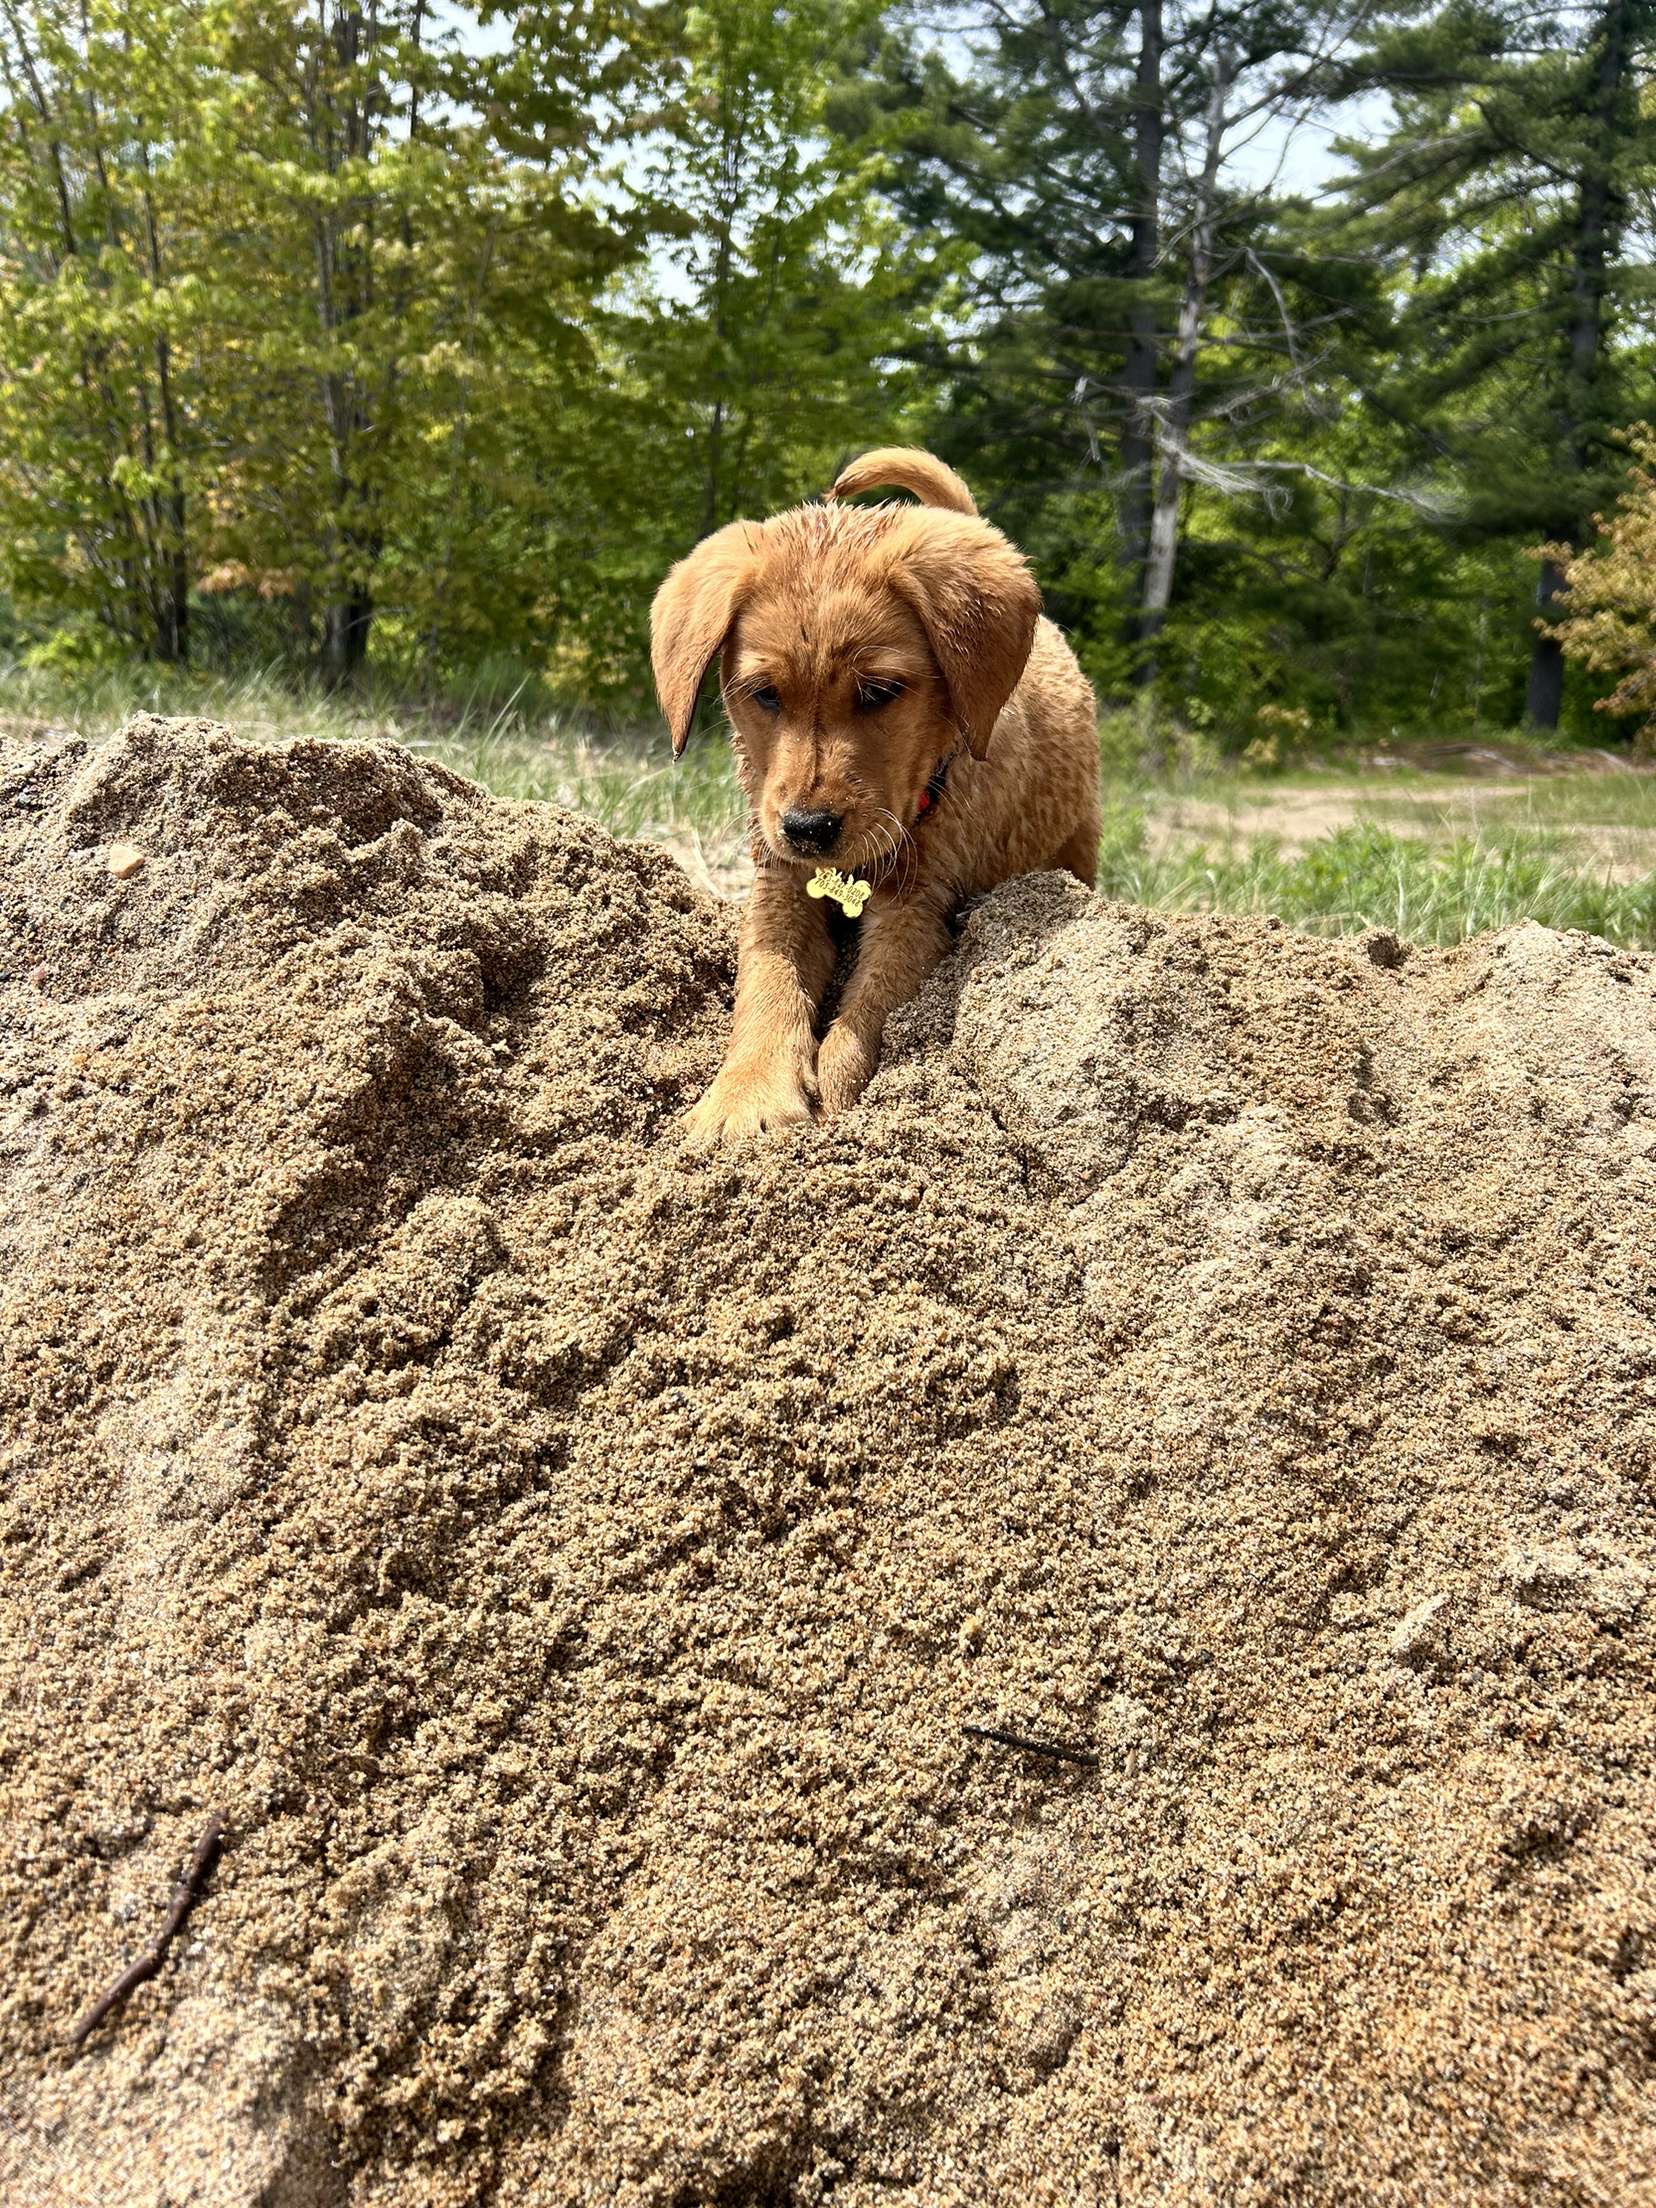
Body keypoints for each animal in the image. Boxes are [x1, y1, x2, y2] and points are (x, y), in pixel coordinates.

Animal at [651, 447, 1100, 1147]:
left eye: (880, 692)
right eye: (764, 693)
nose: (808, 827)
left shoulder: (919, 908)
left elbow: (874, 1001)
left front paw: (839, 1099)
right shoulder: (779, 888)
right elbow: (767, 985)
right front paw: (745, 1093)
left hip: (1079, 837)